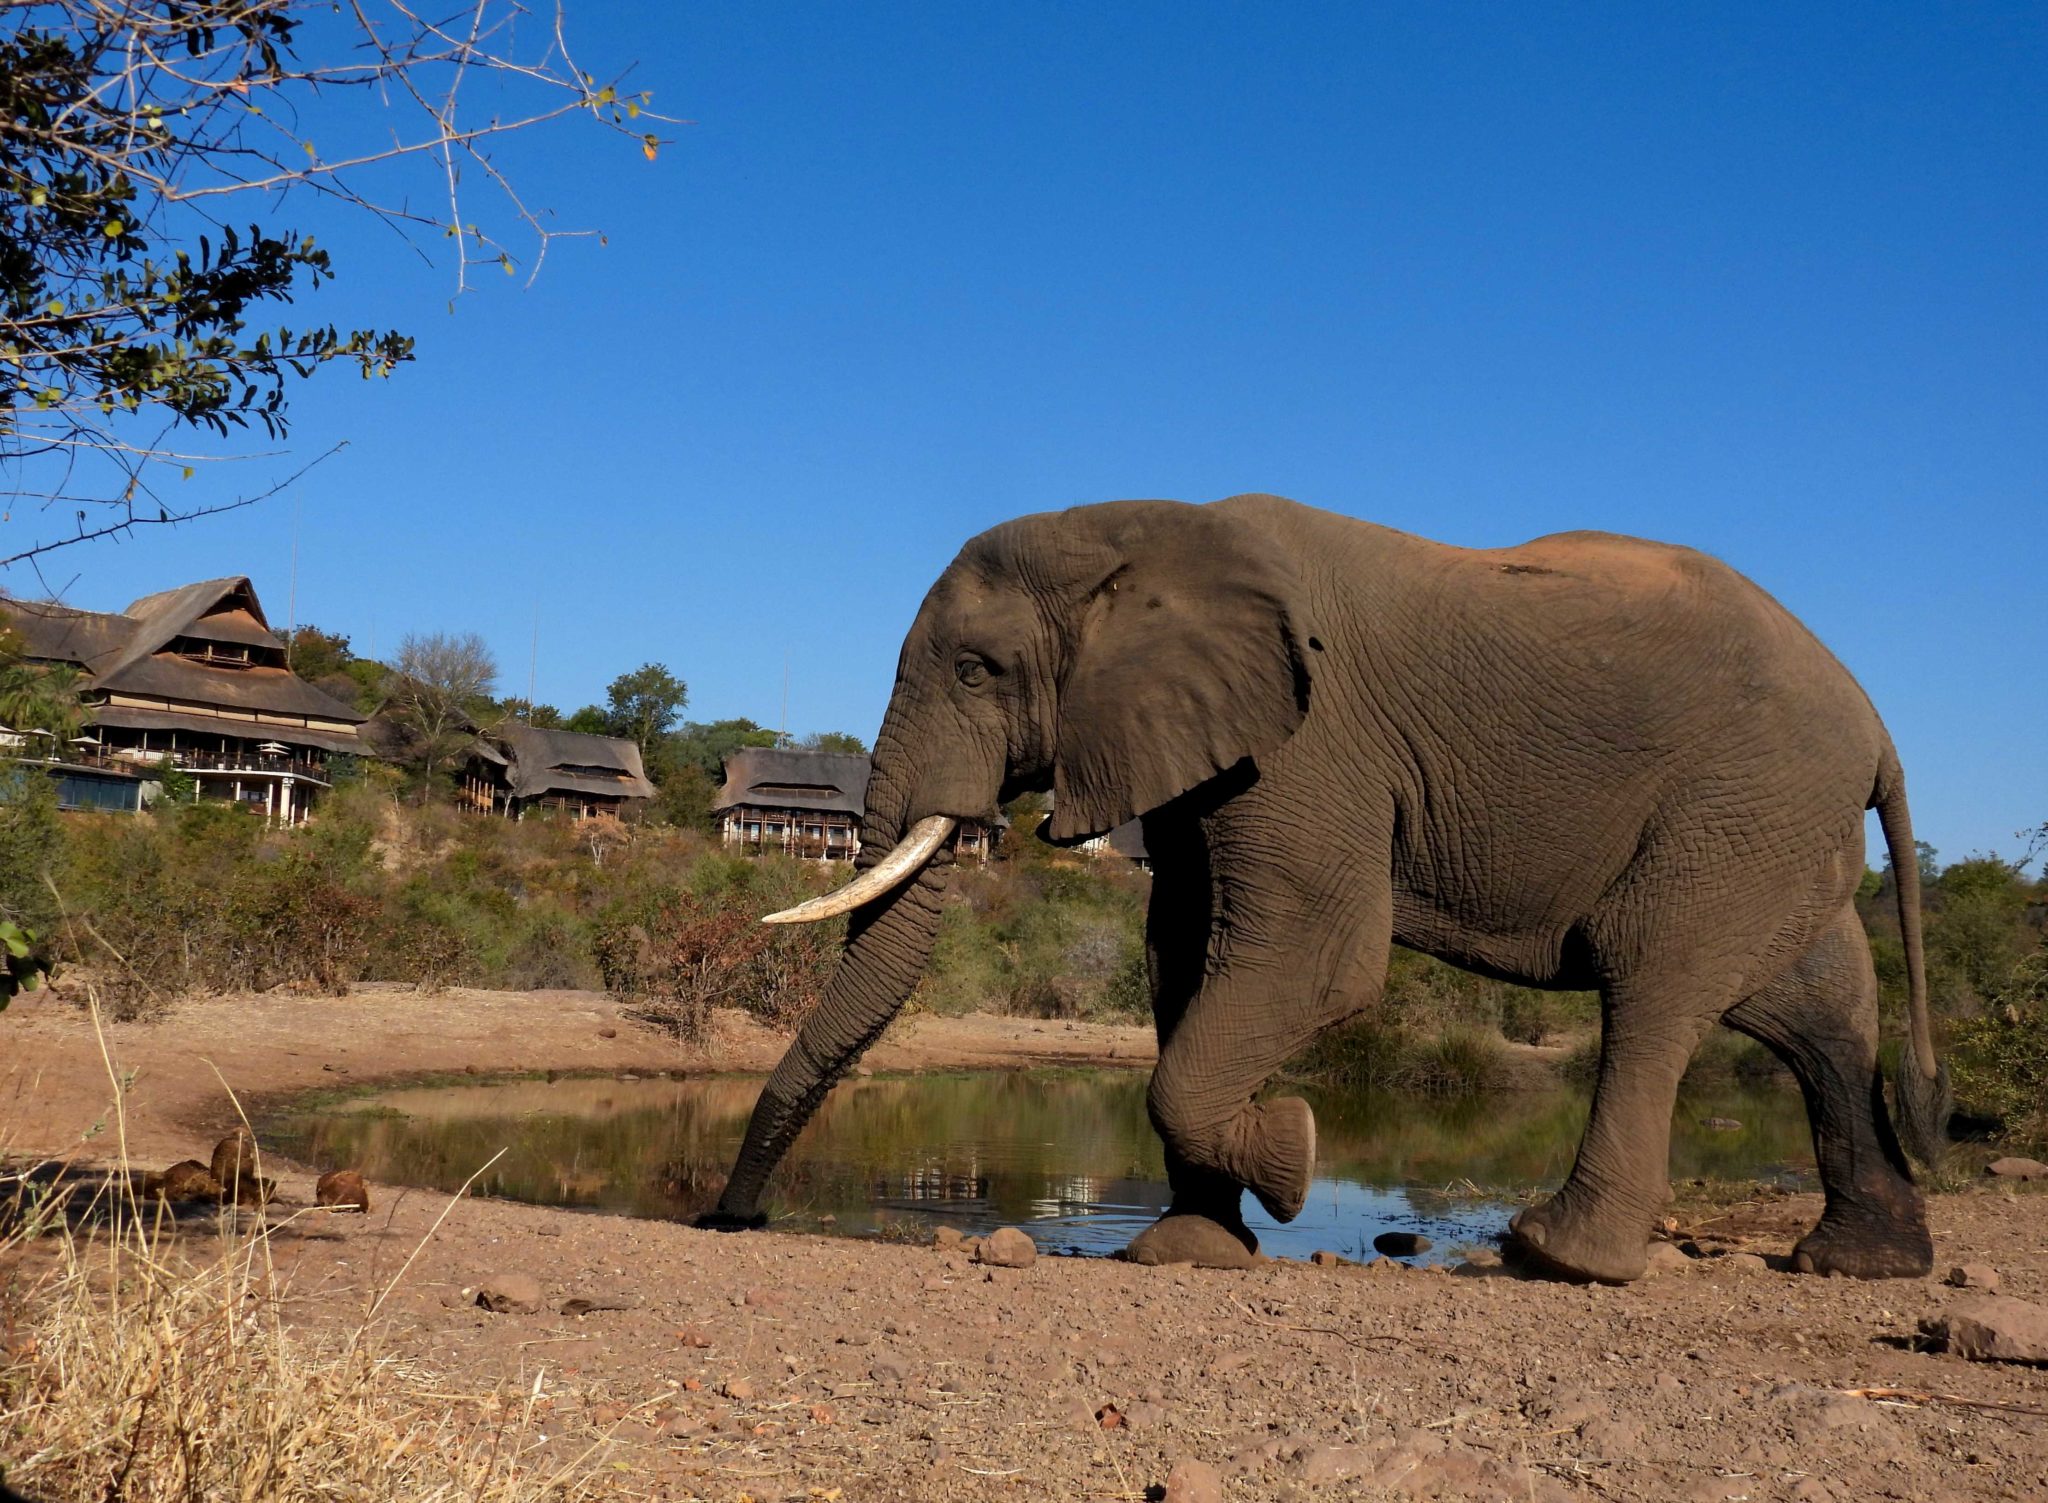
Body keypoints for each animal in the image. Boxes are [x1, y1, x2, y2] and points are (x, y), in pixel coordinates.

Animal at [700, 493, 1947, 1284]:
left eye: (975, 669)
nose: (728, 1215)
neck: (1137, 535)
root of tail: (1882, 729)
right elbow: (1180, 954)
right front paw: (1193, 1250)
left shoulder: (1313, 741)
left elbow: (1315, 959)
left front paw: (1293, 1159)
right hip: (1772, 825)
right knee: (1817, 1012)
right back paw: (1859, 1265)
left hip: (1732, 805)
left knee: (1654, 985)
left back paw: (1555, 1258)